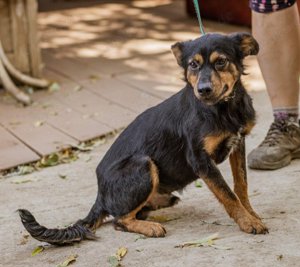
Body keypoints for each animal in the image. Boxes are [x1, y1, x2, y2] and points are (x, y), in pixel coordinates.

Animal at [18, 31, 268, 245]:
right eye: (193, 65)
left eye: (221, 61)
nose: (203, 89)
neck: (223, 108)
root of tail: (100, 196)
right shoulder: (200, 160)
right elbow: (228, 194)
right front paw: (248, 222)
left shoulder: (238, 143)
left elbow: (241, 185)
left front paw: (252, 214)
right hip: (143, 164)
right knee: (119, 220)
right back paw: (150, 227)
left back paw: (159, 202)